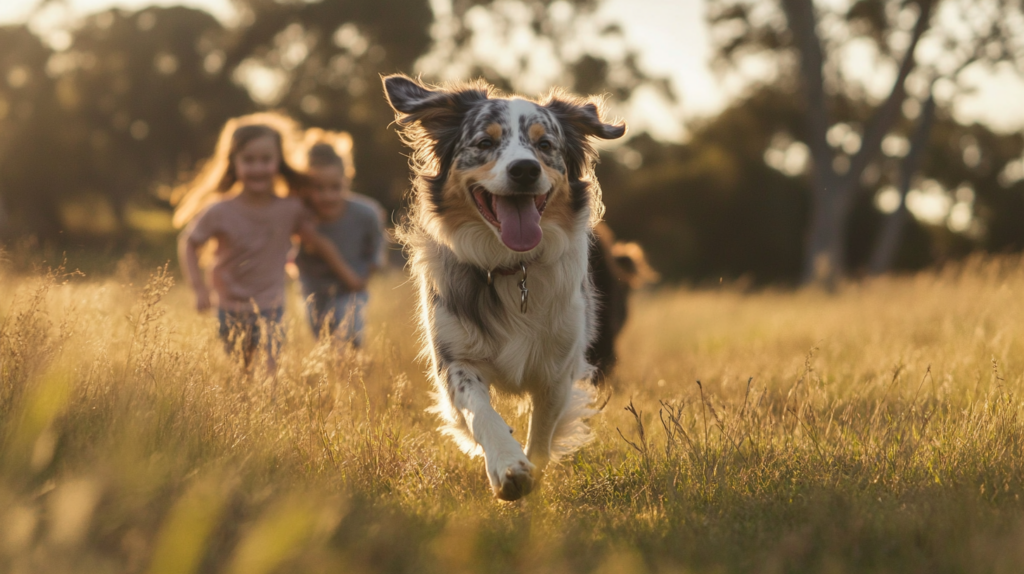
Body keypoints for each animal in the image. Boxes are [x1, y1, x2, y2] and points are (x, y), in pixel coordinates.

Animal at [385, 73, 622, 499]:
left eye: (545, 145)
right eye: (484, 143)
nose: (525, 170)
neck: (512, 266)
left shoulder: (558, 368)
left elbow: (542, 432)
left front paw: (533, 473)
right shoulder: (454, 357)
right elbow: (479, 411)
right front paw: (507, 466)